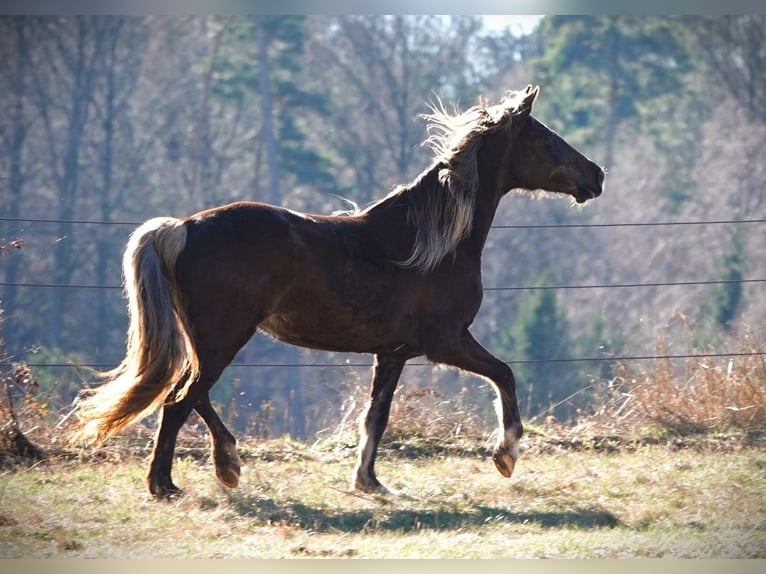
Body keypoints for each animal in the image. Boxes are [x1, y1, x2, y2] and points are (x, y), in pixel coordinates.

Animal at [71, 85, 604, 497]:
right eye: (546, 138)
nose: (595, 175)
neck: (431, 243)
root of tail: (182, 228)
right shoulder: (447, 341)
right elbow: (505, 375)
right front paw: (505, 455)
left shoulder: (393, 353)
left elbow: (376, 417)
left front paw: (370, 482)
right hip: (224, 338)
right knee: (180, 398)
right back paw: (171, 483)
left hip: (211, 341)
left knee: (188, 393)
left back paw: (223, 464)